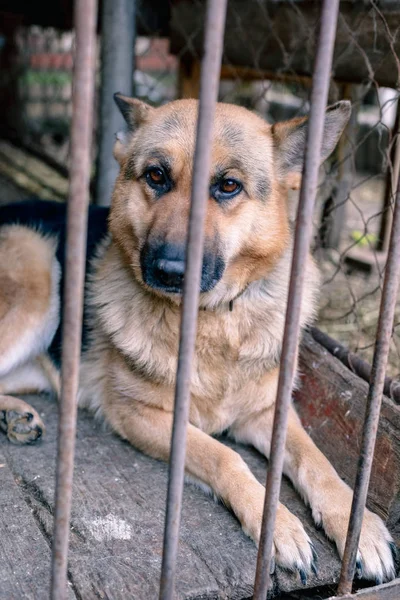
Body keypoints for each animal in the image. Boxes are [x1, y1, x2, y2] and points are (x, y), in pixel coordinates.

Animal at [0, 95, 396, 584]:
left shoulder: (268, 412)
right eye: (156, 176)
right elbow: (225, 456)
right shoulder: (141, 415)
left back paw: (13, 416)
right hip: (36, 268)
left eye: (228, 185)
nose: (169, 270)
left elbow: (317, 461)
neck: (213, 321)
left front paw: (358, 528)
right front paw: (279, 527)